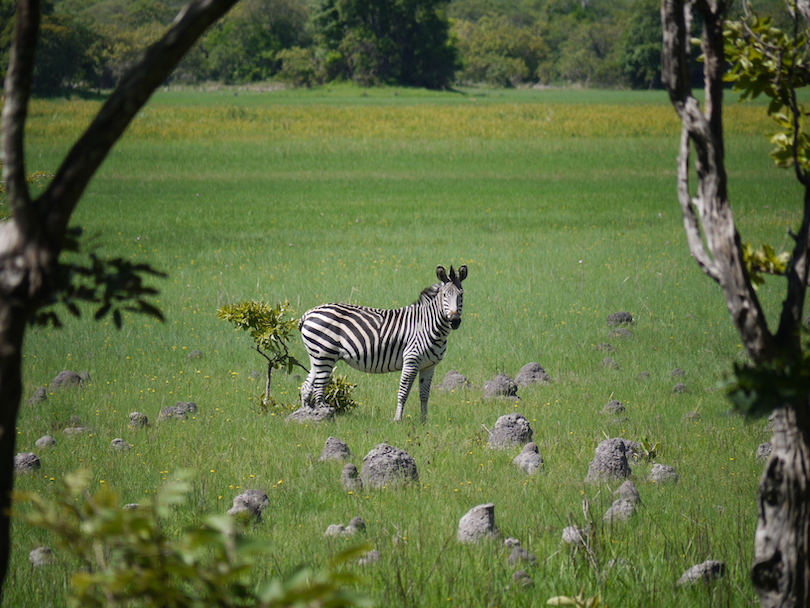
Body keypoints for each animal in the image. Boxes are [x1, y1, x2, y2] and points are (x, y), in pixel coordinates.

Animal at [298, 266, 468, 422]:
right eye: (445, 295)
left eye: (461, 295)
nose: (455, 321)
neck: (428, 325)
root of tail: (308, 313)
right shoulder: (411, 359)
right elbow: (403, 392)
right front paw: (397, 420)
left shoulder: (429, 366)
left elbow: (424, 395)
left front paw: (424, 422)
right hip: (325, 355)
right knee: (319, 390)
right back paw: (323, 419)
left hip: (318, 357)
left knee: (307, 387)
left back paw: (306, 417)